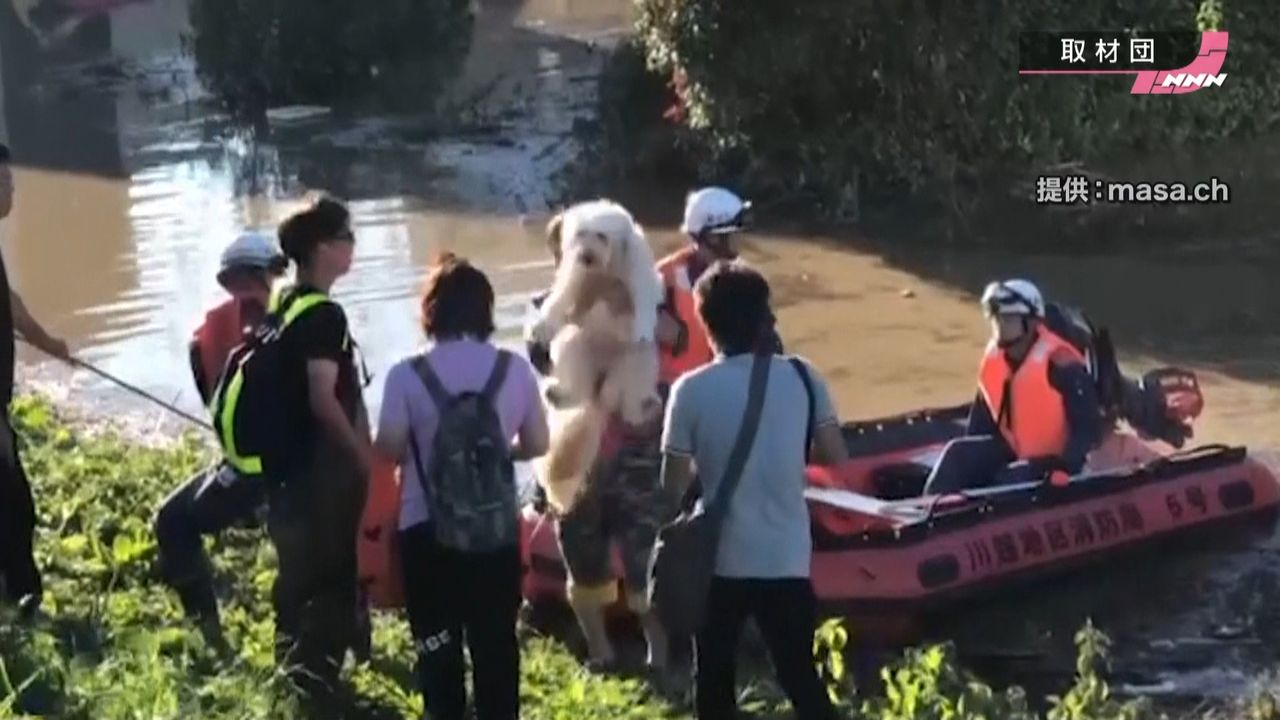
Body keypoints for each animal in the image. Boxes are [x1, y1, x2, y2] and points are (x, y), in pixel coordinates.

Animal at [529, 197, 670, 509]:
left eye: (601, 235)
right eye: (580, 233)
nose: (587, 256)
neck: (606, 271)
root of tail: (601, 382)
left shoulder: (634, 263)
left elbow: (645, 293)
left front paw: (643, 328)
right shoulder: (578, 275)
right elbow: (562, 297)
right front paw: (538, 327)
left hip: (629, 362)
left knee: (635, 375)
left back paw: (641, 409)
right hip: (583, 344)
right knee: (571, 349)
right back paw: (560, 392)